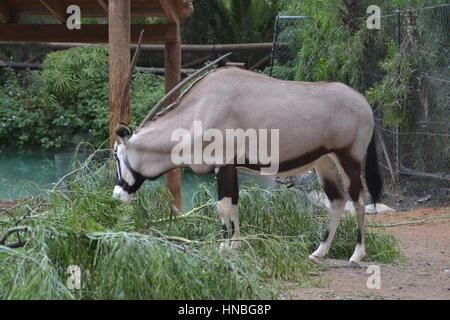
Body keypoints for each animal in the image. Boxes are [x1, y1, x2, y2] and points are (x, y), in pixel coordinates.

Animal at [112, 56, 384, 266]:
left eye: (116, 154)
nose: (116, 196)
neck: (198, 109)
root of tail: (364, 103)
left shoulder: (222, 164)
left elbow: (222, 206)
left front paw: (223, 248)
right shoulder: (232, 166)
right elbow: (234, 203)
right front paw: (236, 245)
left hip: (349, 158)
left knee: (358, 199)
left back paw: (357, 254)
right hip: (324, 162)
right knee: (337, 200)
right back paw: (320, 251)